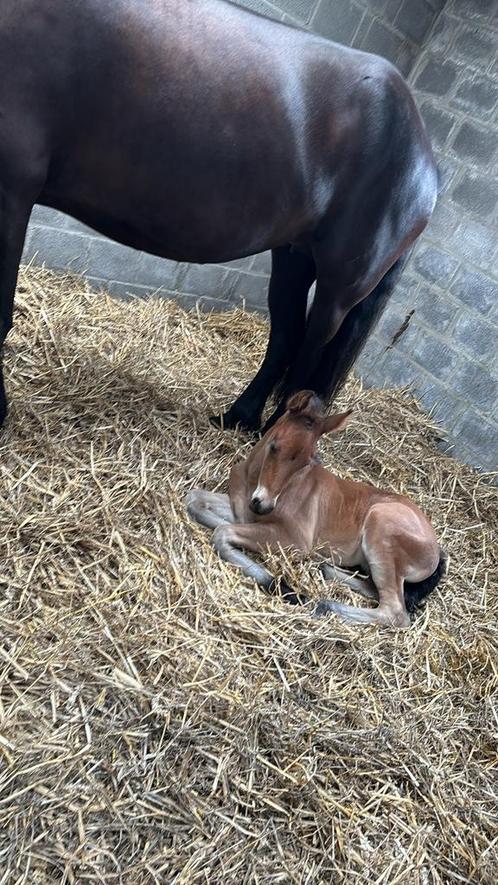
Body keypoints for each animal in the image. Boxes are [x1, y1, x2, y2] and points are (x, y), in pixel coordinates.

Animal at [0, 0, 436, 428]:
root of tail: (426, 164)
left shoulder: (13, 190)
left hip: (337, 291)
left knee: (305, 362)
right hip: (294, 258)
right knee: (285, 340)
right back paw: (239, 419)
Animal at [189, 390, 446, 624]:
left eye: (308, 461)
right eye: (274, 447)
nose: (264, 505)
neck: (253, 480)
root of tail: (436, 549)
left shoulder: (297, 539)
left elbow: (223, 532)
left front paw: (285, 588)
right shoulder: (242, 507)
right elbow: (194, 501)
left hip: (381, 526)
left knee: (395, 612)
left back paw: (323, 605)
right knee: (374, 588)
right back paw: (325, 569)